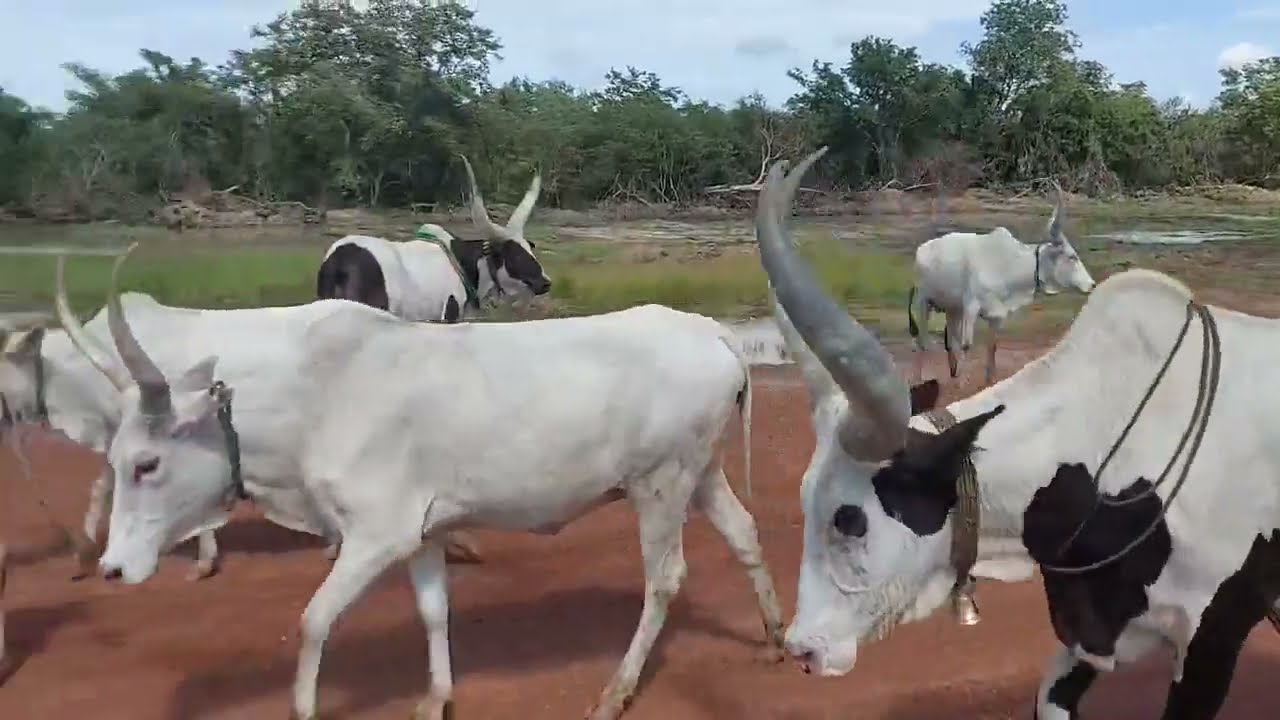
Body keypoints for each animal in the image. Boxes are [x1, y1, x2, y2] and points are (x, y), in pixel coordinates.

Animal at [79, 244, 783, 720]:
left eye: (146, 464)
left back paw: (617, 691)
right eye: (119, 458)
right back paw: (775, 635)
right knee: (745, 533)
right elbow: (433, 611)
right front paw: (436, 696)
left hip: (660, 483)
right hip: (701, 470)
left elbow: (313, 621)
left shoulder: (377, 536)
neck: (315, 399)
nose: (113, 567)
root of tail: (709, 331)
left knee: (664, 580)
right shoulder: (424, 533)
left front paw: (304, 705)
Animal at [316, 155, 552, 322]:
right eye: (514, 255)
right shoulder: (449, 315)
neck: (462, 262)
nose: (545, 282)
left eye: (529, 249)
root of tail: (340, 261)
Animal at [907, 180, 1095, 385]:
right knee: (921, 342)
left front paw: (989, 379)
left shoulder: (997, 315)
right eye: (1072, 256)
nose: (1092, 284)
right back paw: (920, 378)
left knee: (950, 340)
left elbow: (992, 347)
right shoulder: (971, 306)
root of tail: (922, 249)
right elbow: (966, 344)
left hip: (952, 308)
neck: (1009, 265)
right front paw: (961, 383)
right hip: (923, 302)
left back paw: (952, 372)